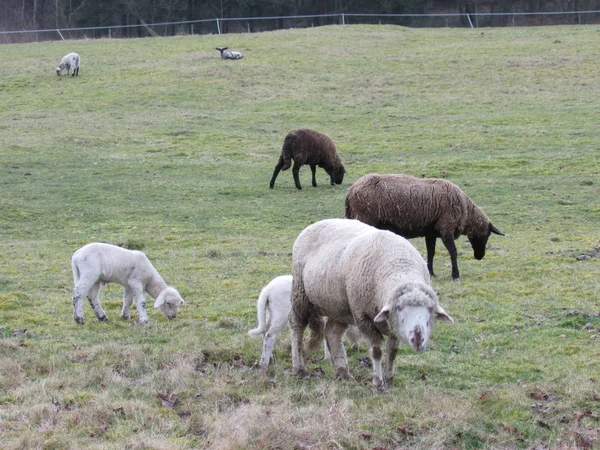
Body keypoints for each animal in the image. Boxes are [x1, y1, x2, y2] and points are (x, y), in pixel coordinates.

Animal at [288, 218, 452, 390]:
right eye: (399, 308)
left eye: (430, 310)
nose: (418, 339)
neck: (399, 266)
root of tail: (317, 223)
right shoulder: (363, 318)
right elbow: (376, 352)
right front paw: (378, 384)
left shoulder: (393, 326)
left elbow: (392, 353)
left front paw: (389, 381)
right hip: (300, 293)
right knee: (297, 327)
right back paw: (299, 369)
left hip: (340, 307)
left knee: (332, 333)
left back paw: (343, 373)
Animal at [344, 173, 504, 282]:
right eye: (486, 235)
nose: (479, 256)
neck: (466, 210)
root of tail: (351, 191)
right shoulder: (446, 229)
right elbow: (453, 252)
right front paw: (455, 275)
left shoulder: (431, 232)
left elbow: (430, 253)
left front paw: (431, 273)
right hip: (363, 218)